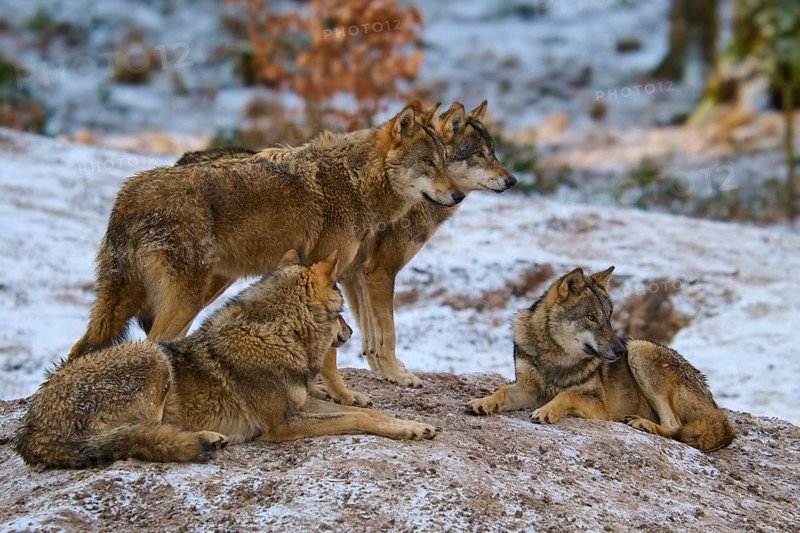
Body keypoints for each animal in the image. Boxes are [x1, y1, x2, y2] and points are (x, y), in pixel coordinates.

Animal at [16, 251, 438, 469]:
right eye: (341, 313)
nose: (351, 334)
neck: (276, 336)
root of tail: (31, 427)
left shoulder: (301, 403)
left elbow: (372, 413)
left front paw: (412, 426)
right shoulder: (282, 424)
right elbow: (356, 418)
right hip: (152, 358)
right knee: (134, 438)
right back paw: (201, 440)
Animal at [67, 102, 462, 405]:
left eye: (445, 161)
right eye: (428, 163)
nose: (458, 195)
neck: (355, 181)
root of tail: (126, 197)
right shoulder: (325, 272)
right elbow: (331, 353)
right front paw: (345, 397)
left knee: (82, 349)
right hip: (184, 299)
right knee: (151, 347)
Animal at [466, 266, 736, 452]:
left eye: (609, 317)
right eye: (591, 317)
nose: (619, 352)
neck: (556, 357)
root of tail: (714, 405)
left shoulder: (600, 406)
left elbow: (566, 394)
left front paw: (547, 411)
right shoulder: (528, 388)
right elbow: (502, 391)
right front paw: (483, 402)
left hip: (640, 349)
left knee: (675, 426)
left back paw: (643, 424)